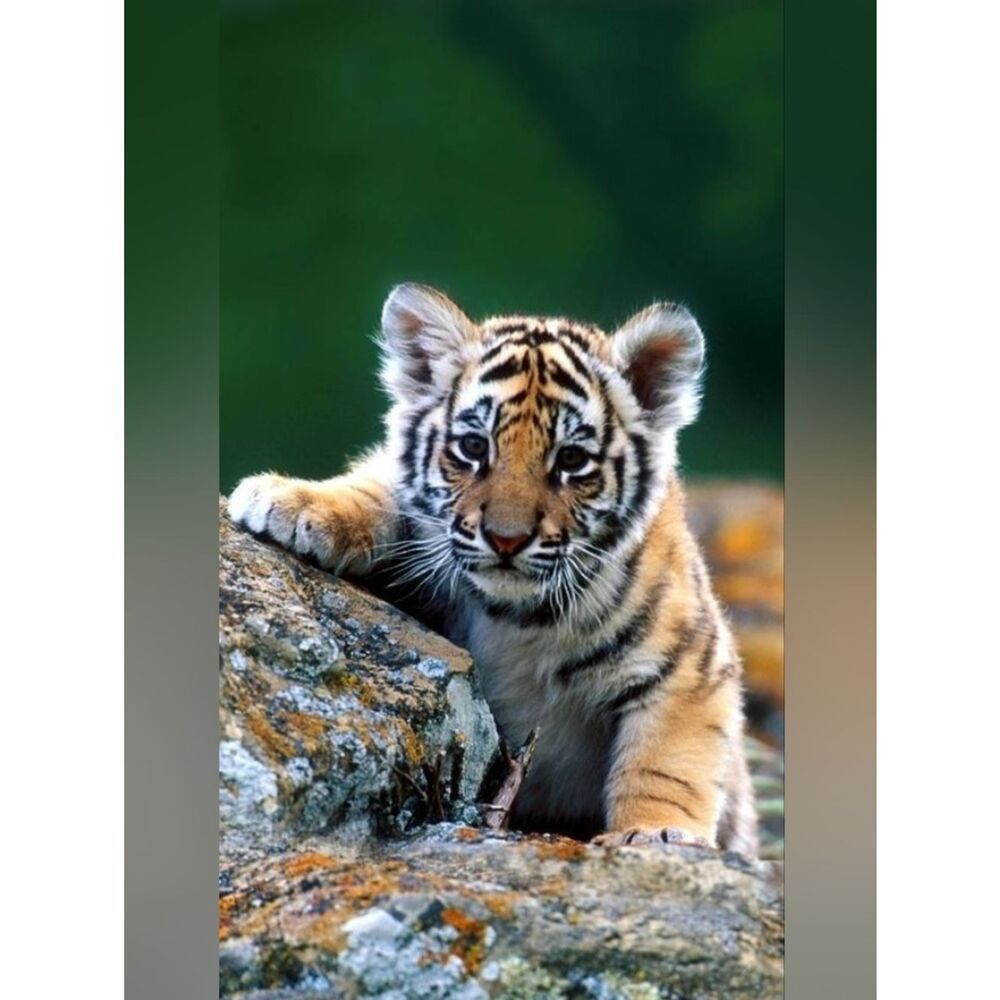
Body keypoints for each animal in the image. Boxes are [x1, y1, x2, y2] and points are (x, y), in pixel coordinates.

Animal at [228, 283, 758, 855]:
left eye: (571, 460)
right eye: (473, 446)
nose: (506, 538)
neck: (517, 617)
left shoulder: (690, 666)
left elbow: (665, 764)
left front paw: (656, 833)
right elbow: (379, 486)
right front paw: (290, 501)